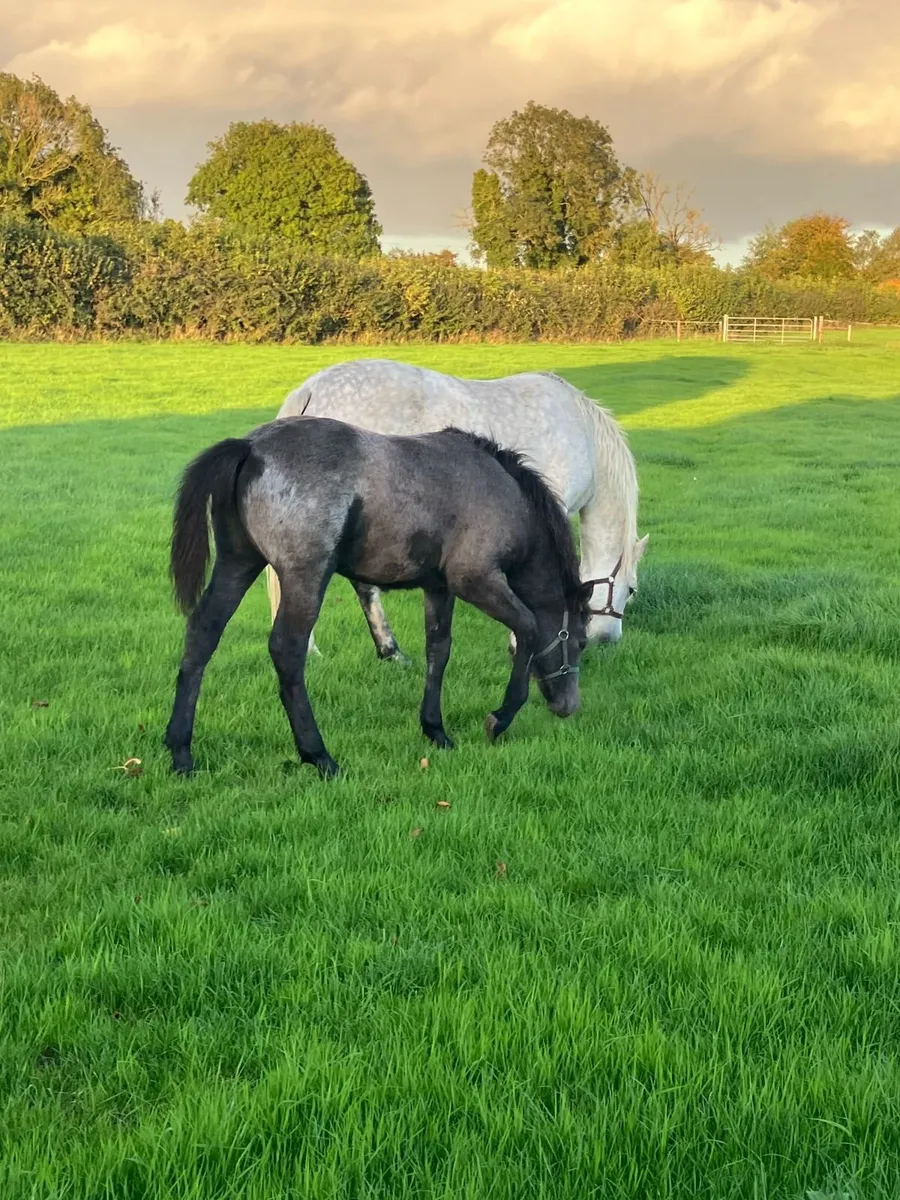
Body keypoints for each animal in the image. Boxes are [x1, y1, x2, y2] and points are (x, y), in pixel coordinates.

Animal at [164, 415, 595, 779]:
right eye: (580, 641)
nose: (569, 706)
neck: (505, 492)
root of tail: (250, 446)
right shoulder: (474, 579)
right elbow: (527, 626)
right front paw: (500, 719)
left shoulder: (439, 587)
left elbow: (438, 650)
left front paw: (435, 730)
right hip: (306, 576)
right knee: (287, 649)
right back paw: (319, 756)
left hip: (238, 562)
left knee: (203, 632)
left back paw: (181, 752)